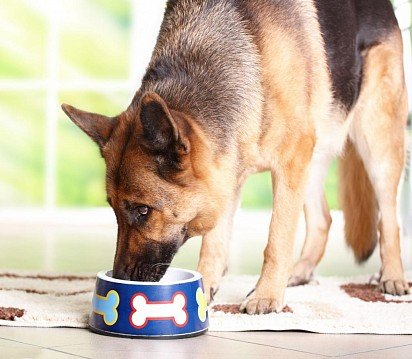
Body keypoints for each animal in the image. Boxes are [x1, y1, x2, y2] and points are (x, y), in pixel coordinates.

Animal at [62, 0, 410, 316]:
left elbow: (277, 238)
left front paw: (266, 295)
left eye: (143, 211)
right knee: (323, 219)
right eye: (113, 209)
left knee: (389, 219)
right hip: (313, 160)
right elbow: (214, 242)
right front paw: (205, 289)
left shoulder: (287, 163)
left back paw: (392, 276)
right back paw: (299, 272)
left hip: (375, 143)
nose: (120, 277)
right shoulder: (226, 172)